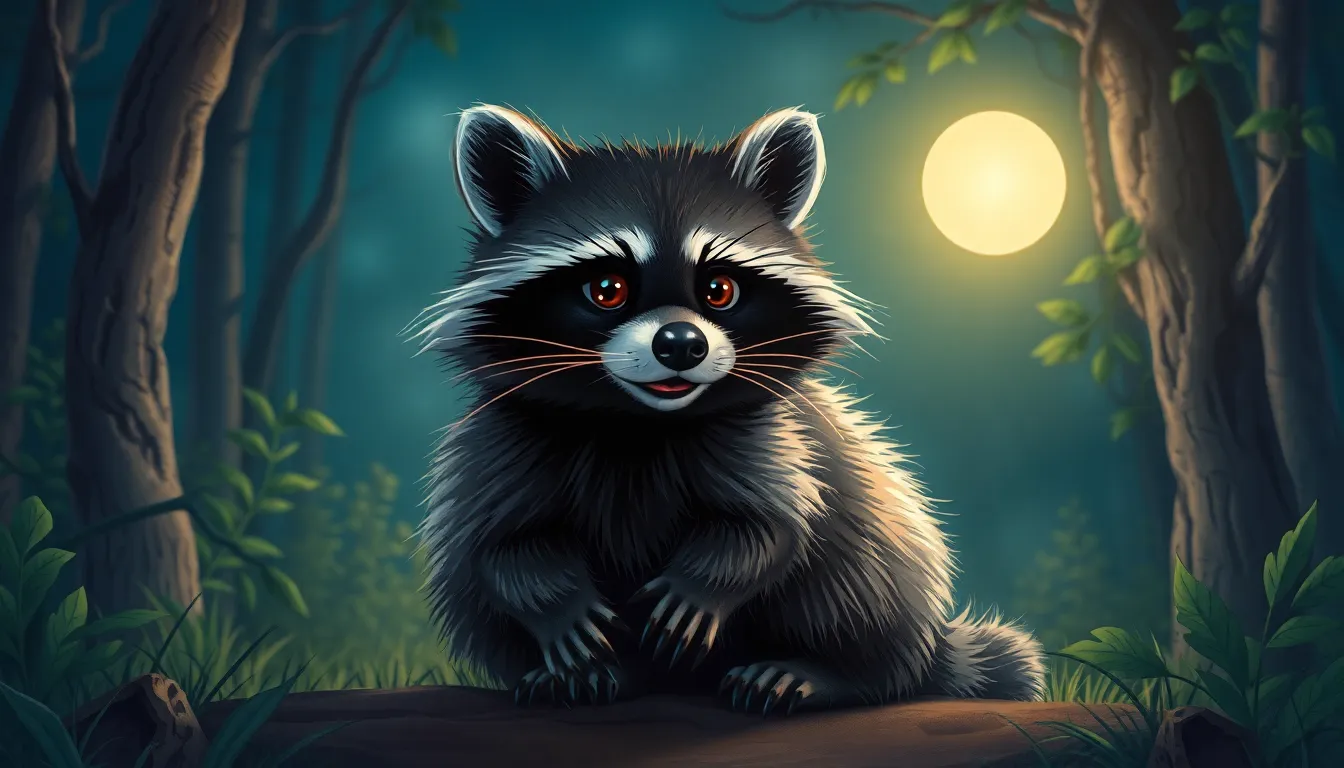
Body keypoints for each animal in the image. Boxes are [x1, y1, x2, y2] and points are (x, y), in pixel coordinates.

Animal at [410, 104, 1045, 714]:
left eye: (719, 289)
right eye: (608, 289)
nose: (680, 345)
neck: (640, 423)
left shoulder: (774, 438)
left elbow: (772, 524)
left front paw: (704, 585)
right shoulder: (503, 441)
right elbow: (499, 544)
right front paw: (558, 606)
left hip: (884, 558)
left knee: (859, 579)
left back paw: (825, 673)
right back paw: (594, 674)